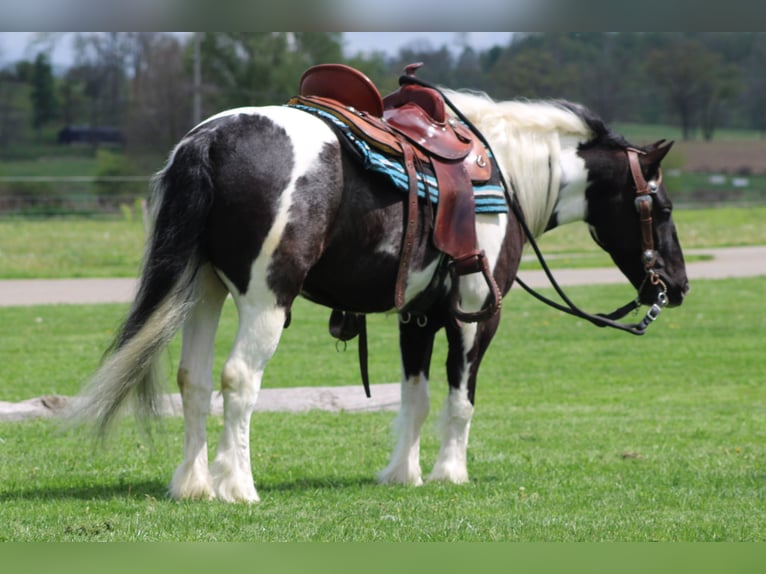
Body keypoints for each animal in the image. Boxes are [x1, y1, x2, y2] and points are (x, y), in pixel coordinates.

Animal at [69, 75, 689, 503]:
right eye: (661, 206)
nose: (677, 286)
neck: (505, 174)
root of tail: (211, 139)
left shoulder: (417, 315)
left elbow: (415, 396)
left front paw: (402, 474)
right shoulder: (476, 312)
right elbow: (460, 398)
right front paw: (448, 474)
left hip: (204, 291)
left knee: (193, 380)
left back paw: (193, 484)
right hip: (265, 300)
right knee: (238, 379)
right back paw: (237, 486)